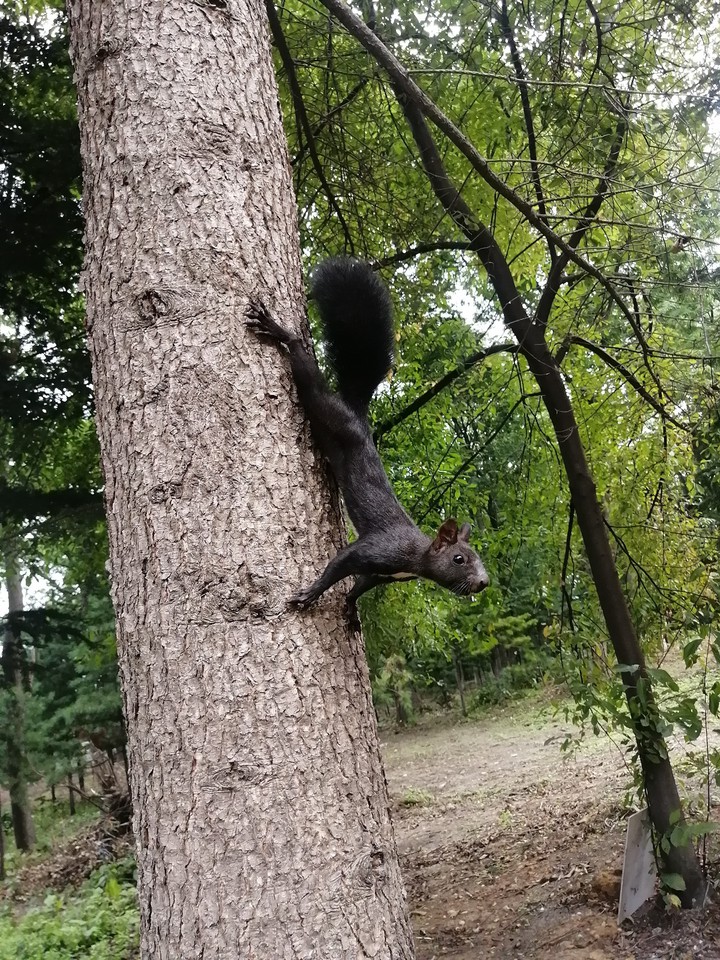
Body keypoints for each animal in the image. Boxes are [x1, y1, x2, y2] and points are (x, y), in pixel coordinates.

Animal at [246, 257, 489, 610]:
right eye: (459, 559)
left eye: (479, 558)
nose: (484, 582)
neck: (416, 559)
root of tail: (358, 416)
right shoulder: (376, 550)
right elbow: (339, 564)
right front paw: (312, 592)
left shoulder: (382, 574)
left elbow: (360, 585)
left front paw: (349, 606)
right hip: (330, 412)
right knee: (308, 374)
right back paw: (279, 330)